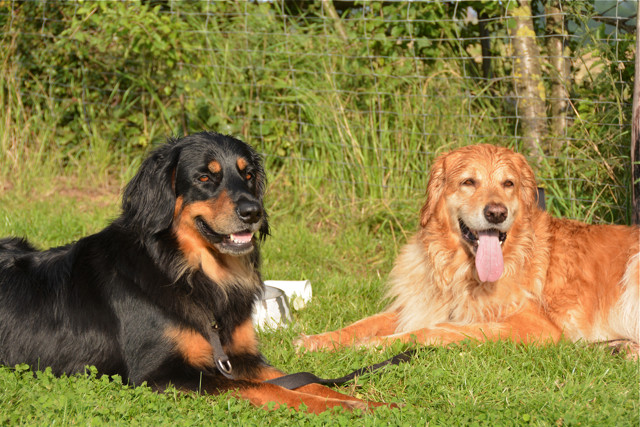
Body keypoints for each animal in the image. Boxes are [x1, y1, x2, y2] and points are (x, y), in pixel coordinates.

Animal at [0, 132, 380, 412]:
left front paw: (370, 404)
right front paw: (343, 408)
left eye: (248, 175)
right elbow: (269, 389)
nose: (253, 212)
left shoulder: (240, 357)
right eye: (204, 177)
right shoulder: (158, 373)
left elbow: (307, 380)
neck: (191, 274)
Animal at [298, 145, 636, 356]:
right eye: (468, 182)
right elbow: (363, 323)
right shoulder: (419, 304)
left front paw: (377, 345)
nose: (496, 213)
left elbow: (438, 330)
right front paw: (319, 340)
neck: (460, 272)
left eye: (508, 184)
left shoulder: (535, 326)